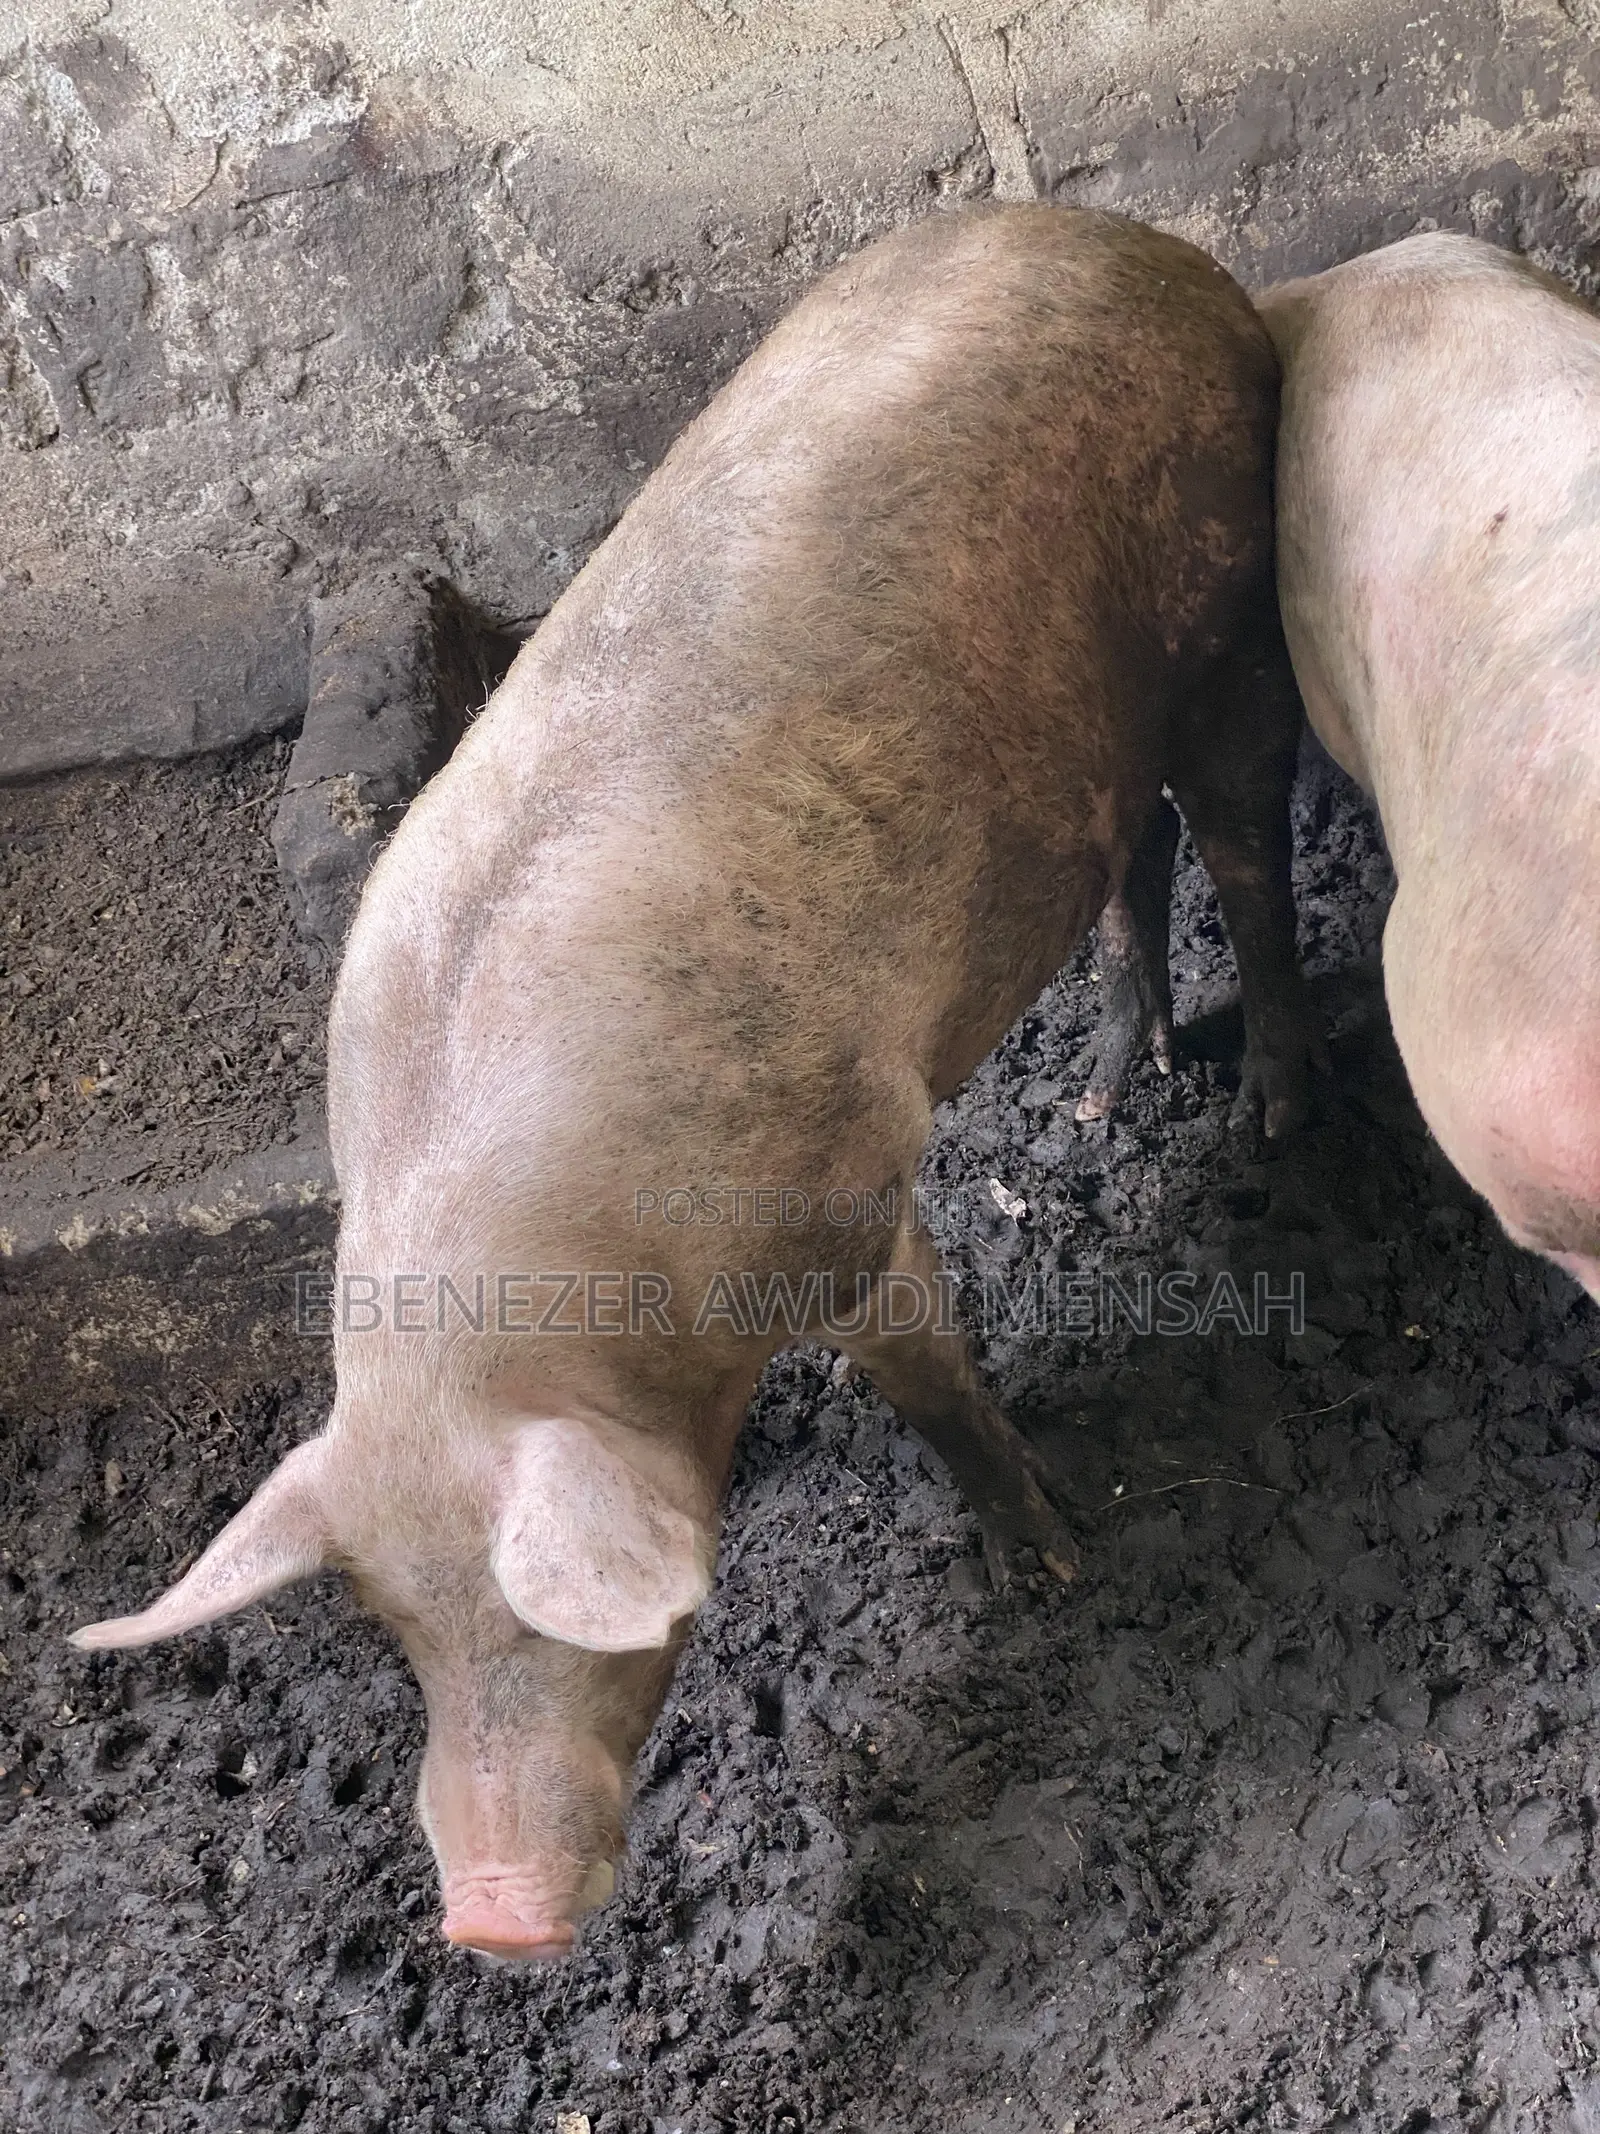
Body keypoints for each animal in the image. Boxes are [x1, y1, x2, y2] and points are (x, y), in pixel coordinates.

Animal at [72, 204, 1317, 1962]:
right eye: (396, 1627)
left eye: (544, 1613)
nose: (490, 1920)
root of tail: (1142, 246)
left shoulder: (851, 1191)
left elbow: (939, 1392)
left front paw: (1052, 1574)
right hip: (1093, 732)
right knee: (1131, 853)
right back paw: (1106, 1085)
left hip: (1222, 598)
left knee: (1245, 850)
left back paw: (1271, 1112)